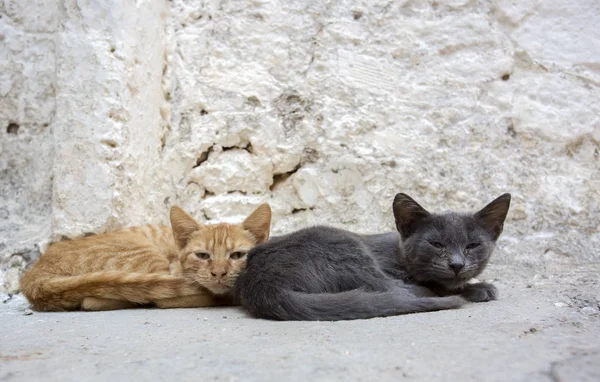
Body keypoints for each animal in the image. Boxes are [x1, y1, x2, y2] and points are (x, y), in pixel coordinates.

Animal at [19, 204, 272, 312]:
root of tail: (33, 274)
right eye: (202, 255)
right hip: (147, 259)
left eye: (237, 255)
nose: (218, 272)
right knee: (95, 300)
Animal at [234, 192, 510, 320]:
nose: (456, 264)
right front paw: (476, 288)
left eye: (473, 245)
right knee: (392, 289)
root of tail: (263, 284)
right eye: (436, 243)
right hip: (345, 246)